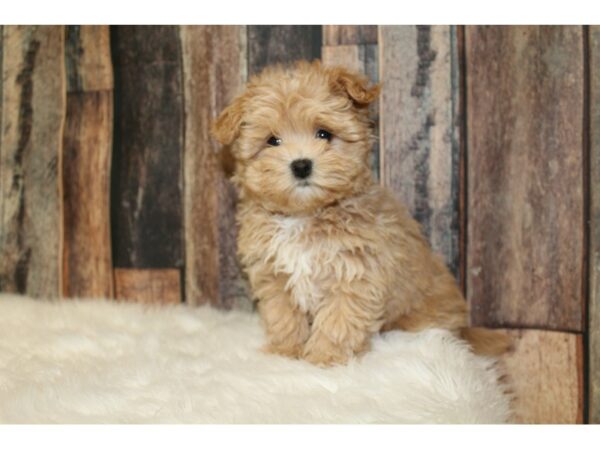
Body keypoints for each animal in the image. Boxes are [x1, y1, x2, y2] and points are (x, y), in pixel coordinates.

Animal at [211, 59, 506, 368]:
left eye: (324, 134)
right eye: (272, 141)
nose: (301, 165)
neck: (305, 215)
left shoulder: (355, 273)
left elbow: (339, 321)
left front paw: (323, 359)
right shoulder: (274, 275)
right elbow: (283, 316)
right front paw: (285, 353)